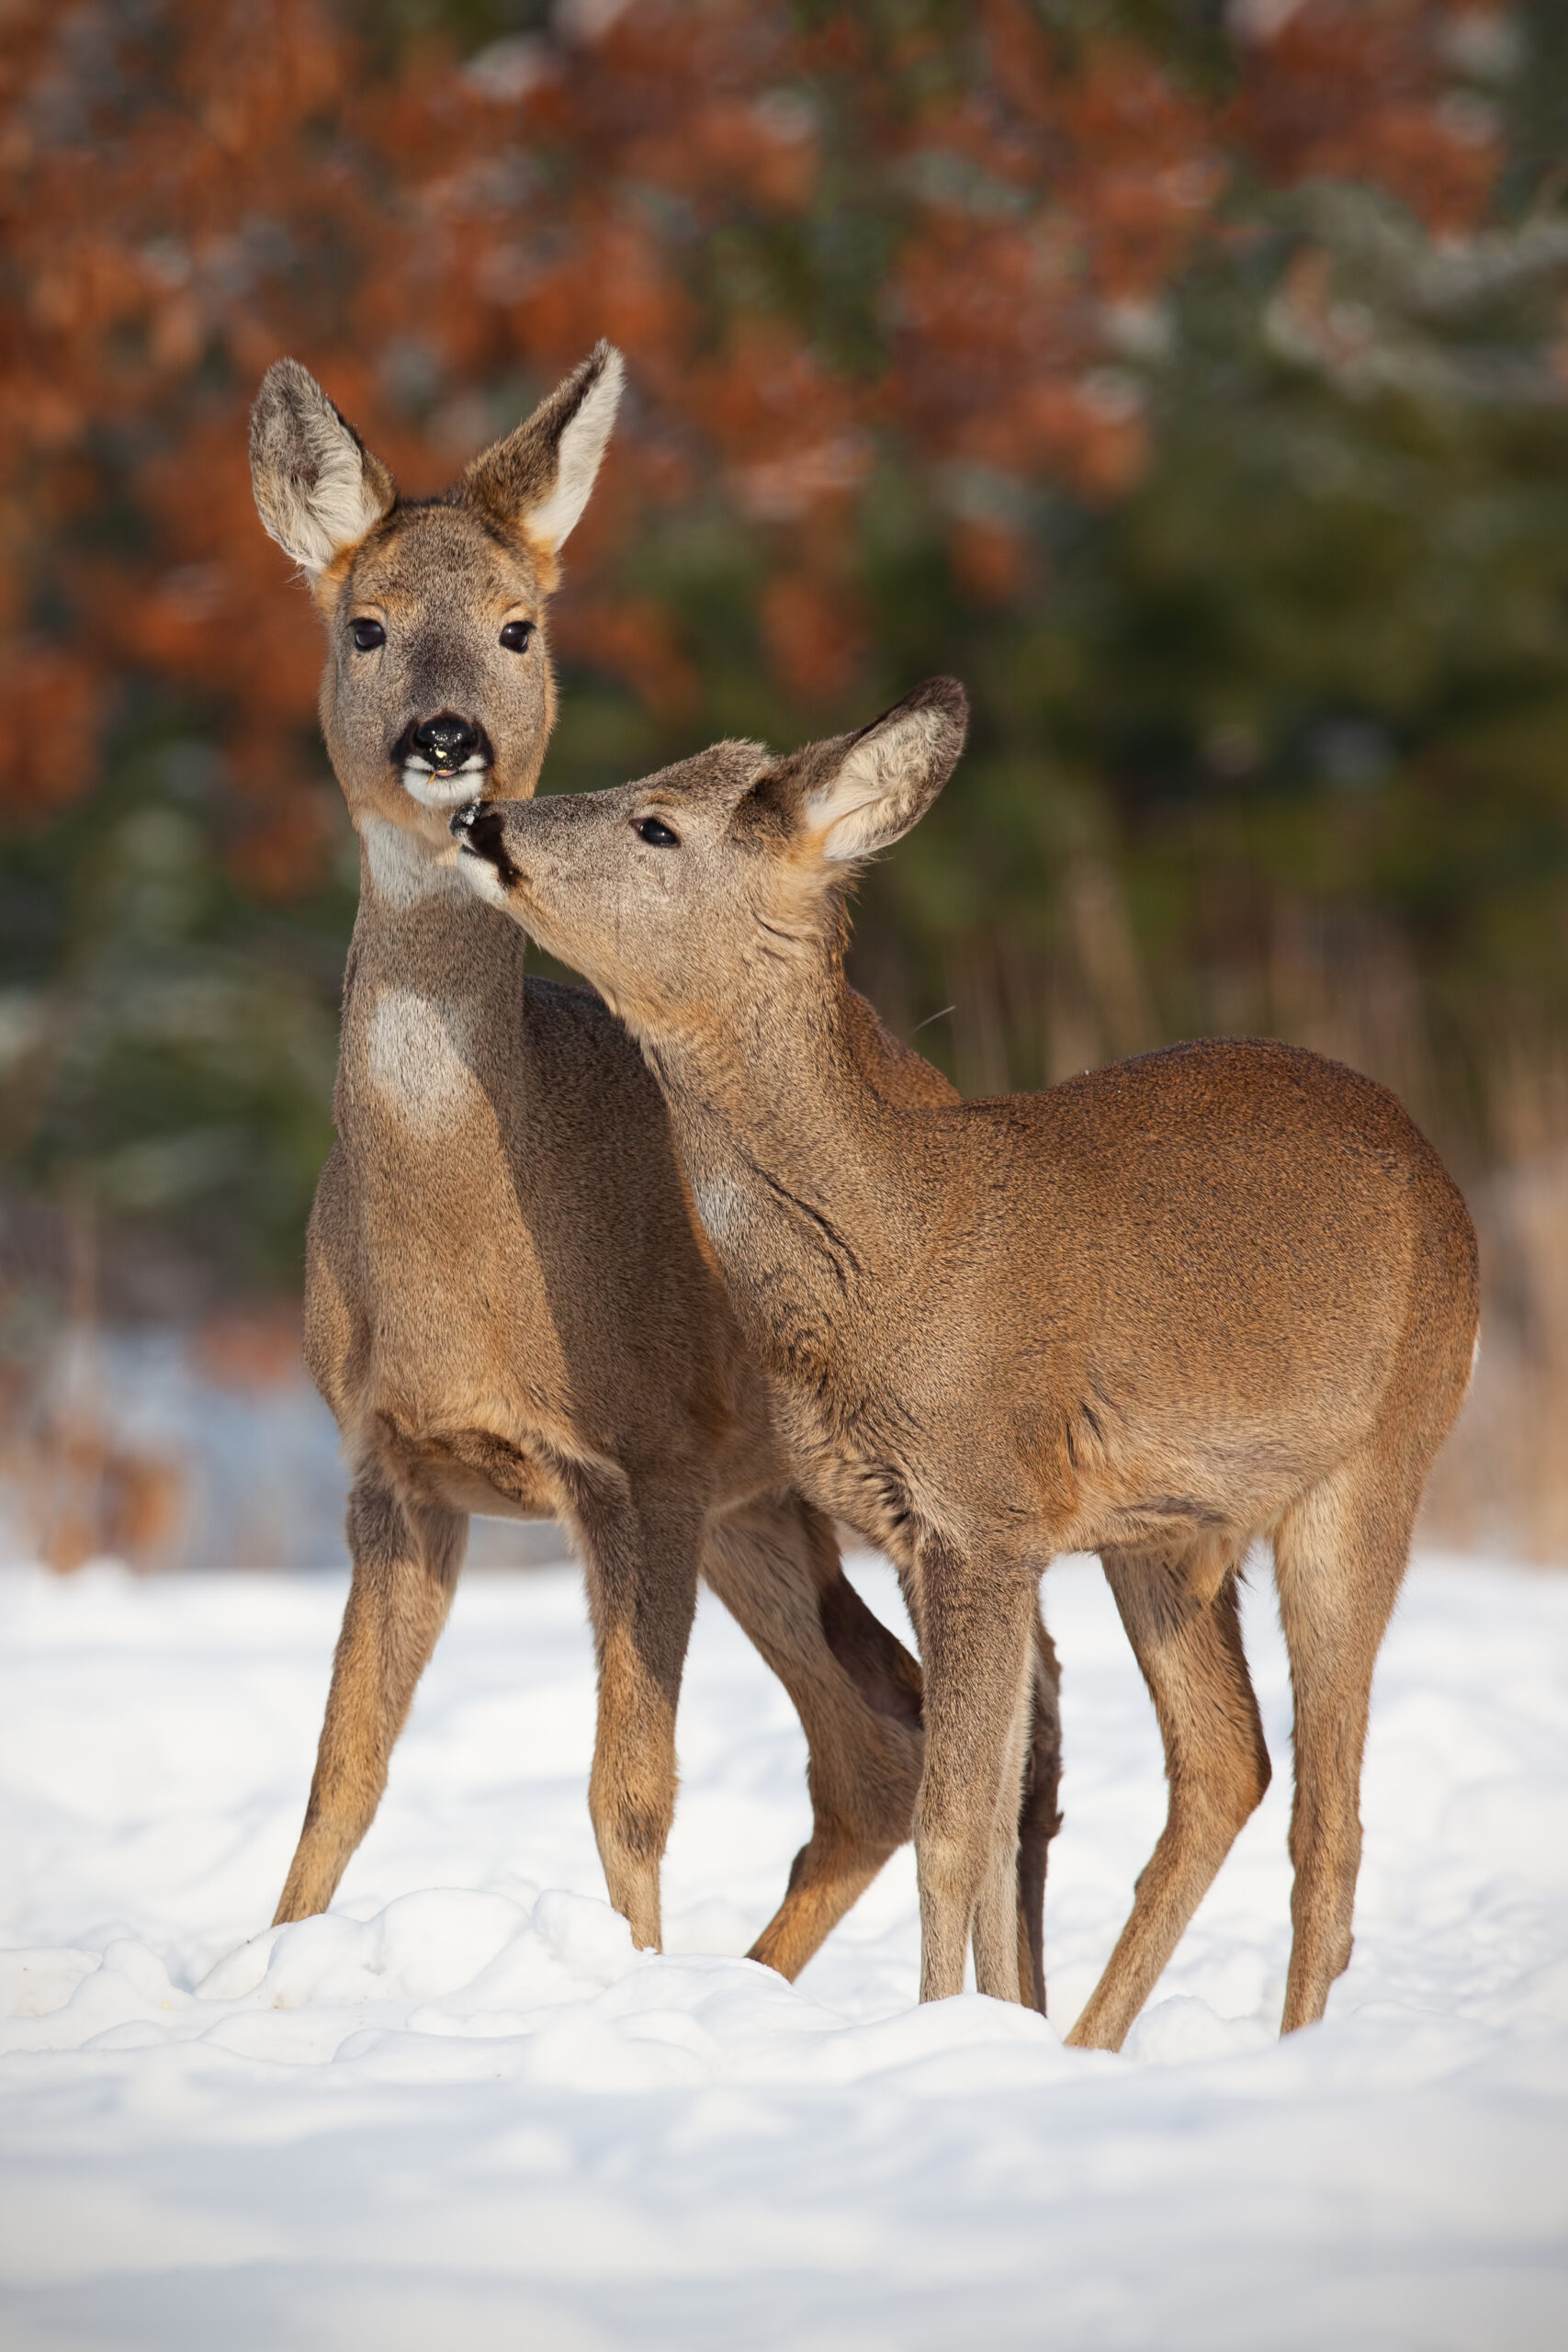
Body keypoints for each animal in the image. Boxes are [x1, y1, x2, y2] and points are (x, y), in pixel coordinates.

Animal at [247, 353, 1066, 1984]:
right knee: (876, 1743)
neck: (472, 1259)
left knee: (972, 1728)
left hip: (827, 1481)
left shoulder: (643, 1458)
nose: (448, 741)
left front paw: (628, 1981)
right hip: (771, 1506)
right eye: (363, 623)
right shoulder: (391, 1463)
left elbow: (628, 1791)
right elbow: (339, 1776)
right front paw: (269, 1975)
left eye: (519, 623)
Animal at [456, 677, 1485, 2041]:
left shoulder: (982, 1514)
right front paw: (997, 2034)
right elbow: (997, 1816)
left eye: (655, 824)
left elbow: (952, 1826)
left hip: (1375, 1460)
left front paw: (936, 2028)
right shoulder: (921, 1529)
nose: (484, 819)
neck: (891, 1246)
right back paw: (1095, 2043)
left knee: (1329, 1812)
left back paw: (1290, 2049)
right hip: (1161, 1533)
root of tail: (1439, 1175)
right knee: (1226, 1762)